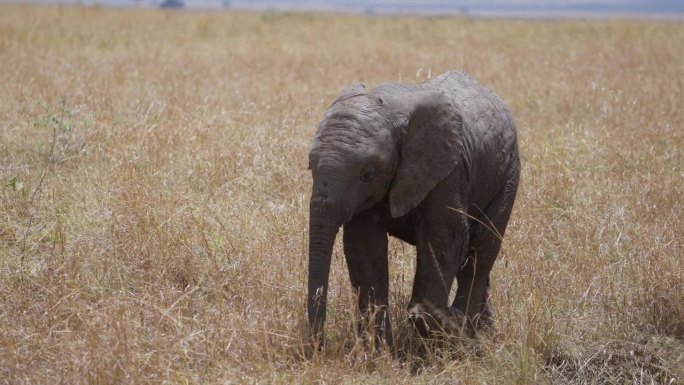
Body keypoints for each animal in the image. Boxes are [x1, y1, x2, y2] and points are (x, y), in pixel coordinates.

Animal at [308, 70, 520, 348]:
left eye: (368, 175)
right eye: (310, 167)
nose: (316, 347)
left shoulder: (447, 172)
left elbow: (444, 240)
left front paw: (442, 325)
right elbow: (365, 248)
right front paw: (380, 351)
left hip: (507, 175)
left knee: (480, 251)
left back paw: (468, 333)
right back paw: (483, 333)